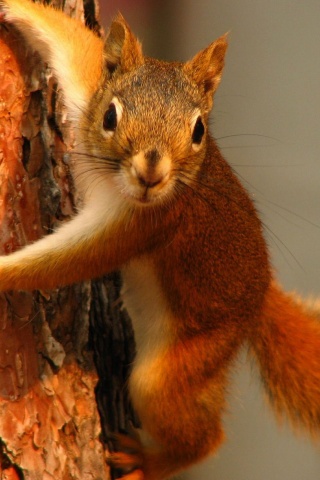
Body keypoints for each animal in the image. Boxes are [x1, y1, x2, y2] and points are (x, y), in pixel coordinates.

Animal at [0, 1, 320, 478]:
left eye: (199, 130)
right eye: (110, 116)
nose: (151, 174)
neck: (113, 182)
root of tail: (260, 297)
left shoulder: (143, 225)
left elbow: (66, 261)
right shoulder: (87, 93)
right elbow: (77, 47)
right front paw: (17, 10)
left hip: (184, 364)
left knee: (202, 436)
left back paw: (146, 462)